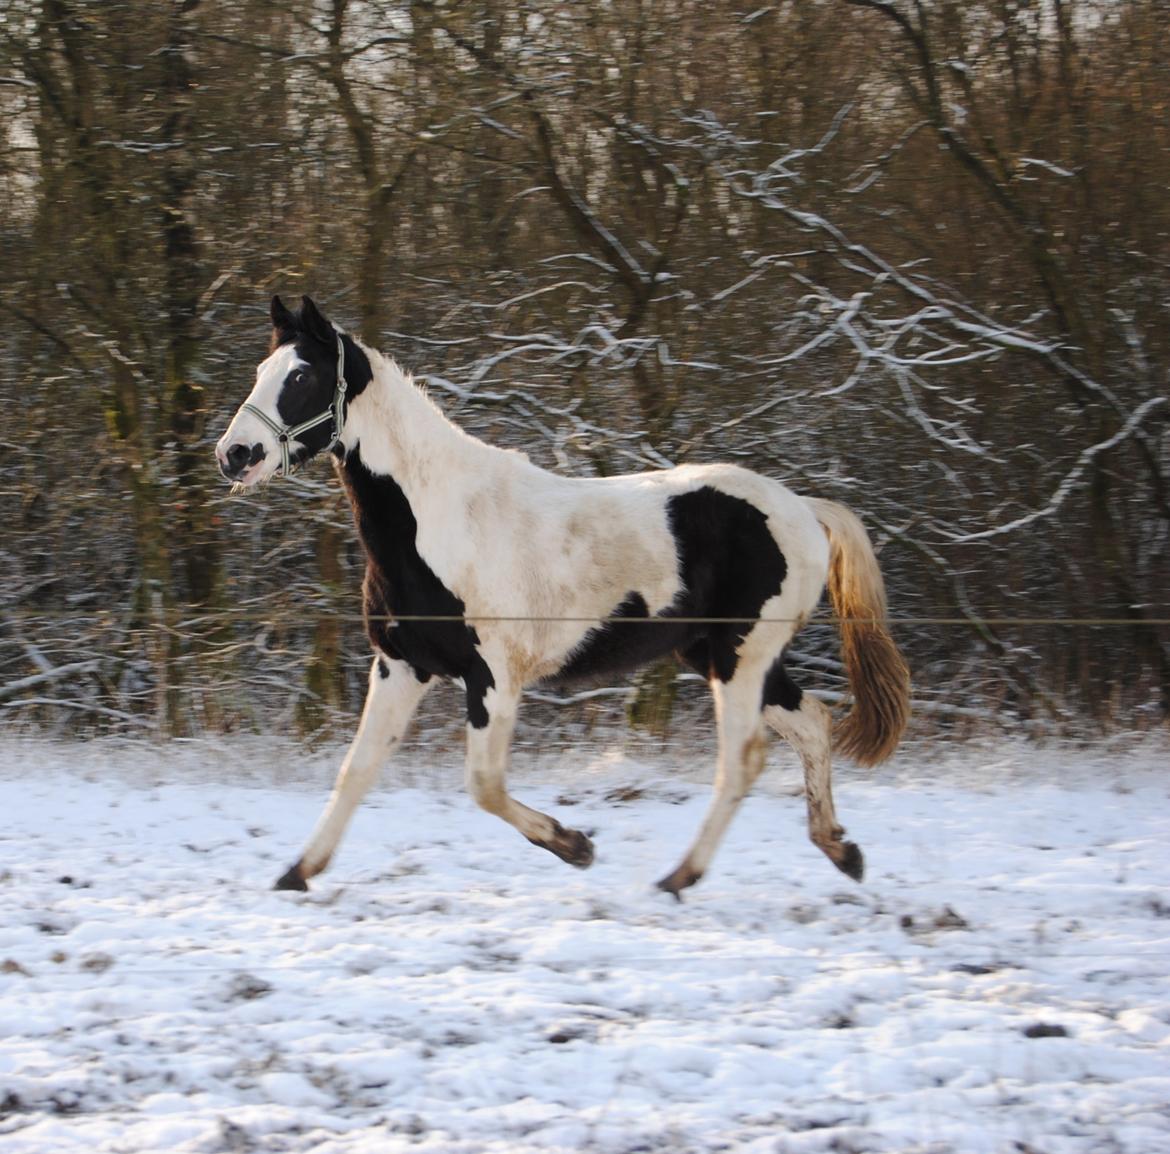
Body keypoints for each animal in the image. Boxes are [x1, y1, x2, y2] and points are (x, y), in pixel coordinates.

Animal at [219, 294, 912, 889]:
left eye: (302, 377)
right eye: (260, 370)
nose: (235, 455)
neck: (440, 519)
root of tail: (805, 510)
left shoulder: (493, 677)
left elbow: (484, 784)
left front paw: (575, 845)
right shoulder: (400, 667)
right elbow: (357, 770)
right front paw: (296, 874)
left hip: (742, 659)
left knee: (744, 759)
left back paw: (679, 879)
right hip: (720, 656)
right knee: (814, 724)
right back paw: (841, 850)